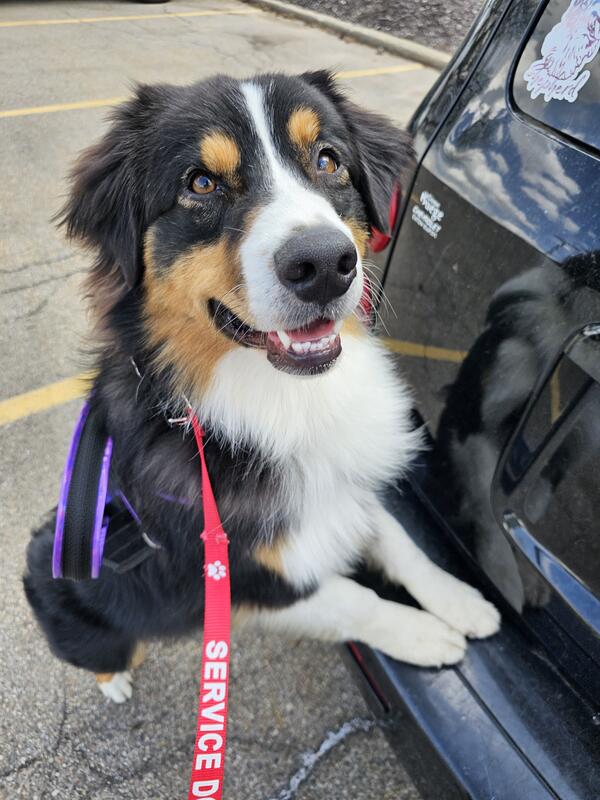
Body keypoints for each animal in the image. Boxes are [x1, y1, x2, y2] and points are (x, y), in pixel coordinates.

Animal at [24, 71, 500, 703]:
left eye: (328, 160)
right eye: (200, 183)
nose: (324, 265)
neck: (288, 399)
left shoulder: (337, 481)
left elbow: (395, 535)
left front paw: (460, 600)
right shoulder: (251, 577)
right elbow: (356, 600)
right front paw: (426, 635)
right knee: (109, 653)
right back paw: (116, 682)